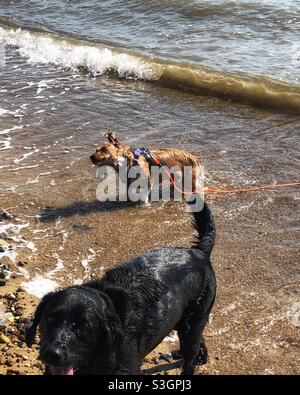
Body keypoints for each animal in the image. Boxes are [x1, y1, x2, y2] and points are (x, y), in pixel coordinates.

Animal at [25, 203, 217, 376]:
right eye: (50, 319)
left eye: (84, 326)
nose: (52, 353)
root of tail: (199, 252)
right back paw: (201, 358)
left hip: (193, 323)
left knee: (190, 359)